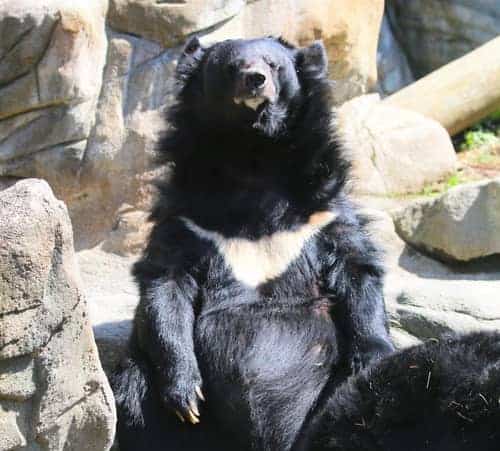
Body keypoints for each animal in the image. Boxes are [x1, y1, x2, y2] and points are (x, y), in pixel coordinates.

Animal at [112, 37, 500, 451]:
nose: (255, 80)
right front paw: (187, 395)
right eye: (231, 66)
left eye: (273, 64)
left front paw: (370, 356)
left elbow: (356, 272)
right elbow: (166, 284)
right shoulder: (187, 218)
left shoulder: (323, 212)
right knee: (137, 394)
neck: (251, 157)